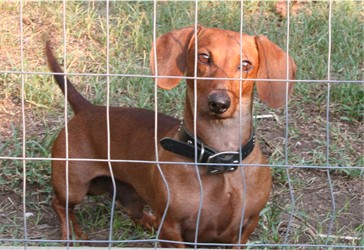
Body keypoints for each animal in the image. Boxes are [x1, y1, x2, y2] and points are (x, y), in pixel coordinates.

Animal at [47, 25, 296, 246]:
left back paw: (147, 221)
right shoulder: (171, 228)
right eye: (204, 57)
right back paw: (72, 234)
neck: (219, 158)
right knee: (60, 205)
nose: (219, 103)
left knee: (133, 211)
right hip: (75, 186)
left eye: (245, 64)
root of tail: (88, 109)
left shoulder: (245, 229)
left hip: (128, 193)